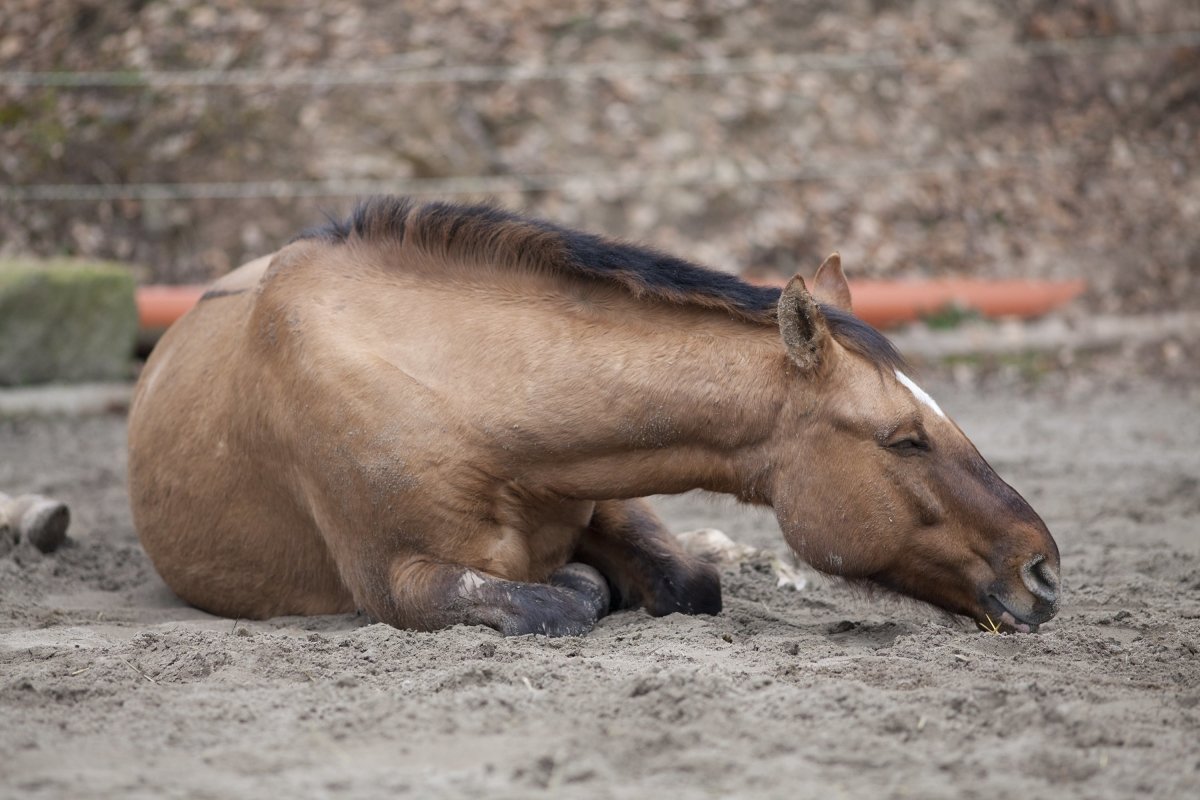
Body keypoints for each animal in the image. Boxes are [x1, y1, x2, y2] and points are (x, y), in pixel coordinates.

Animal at [126, 199, 1056, 638]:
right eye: (905, 438)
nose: (1043, 571)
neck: (461, 392)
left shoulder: (608, 488)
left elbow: (689, 581)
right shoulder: (398, 581)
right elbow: (560, 599)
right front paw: (585, 587)